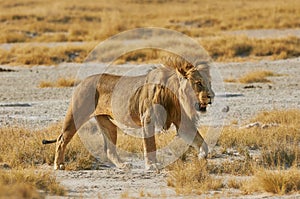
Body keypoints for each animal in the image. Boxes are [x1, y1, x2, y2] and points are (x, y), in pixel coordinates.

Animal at [43, 56, 214, 170]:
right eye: (199, 83)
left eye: (209, 83)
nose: (212, 96)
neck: (175, 94)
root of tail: (82, 81)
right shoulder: (148, 119)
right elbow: (149, 144)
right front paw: (152, 165)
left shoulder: (182, 123)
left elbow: (200, 141)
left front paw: (202, 156)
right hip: (76, 115)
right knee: (61, 139)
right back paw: (58, 164)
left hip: (108, 124)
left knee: (109, 150)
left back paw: (122, 165)